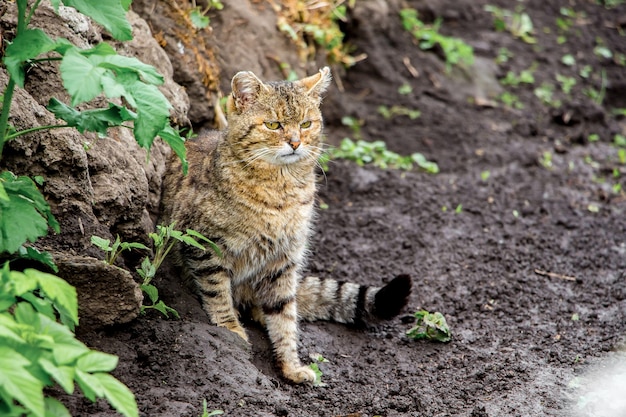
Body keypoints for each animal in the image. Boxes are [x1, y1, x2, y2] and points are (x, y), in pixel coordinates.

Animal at [161, 66, 410, 382]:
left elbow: (285, 315)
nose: (295, 142)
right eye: (273, 125)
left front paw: (290, 364)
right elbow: (217, 292)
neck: (282, 191)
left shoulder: (284, 259)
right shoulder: (204, 245)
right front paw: (231, 329)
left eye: (306, 124)